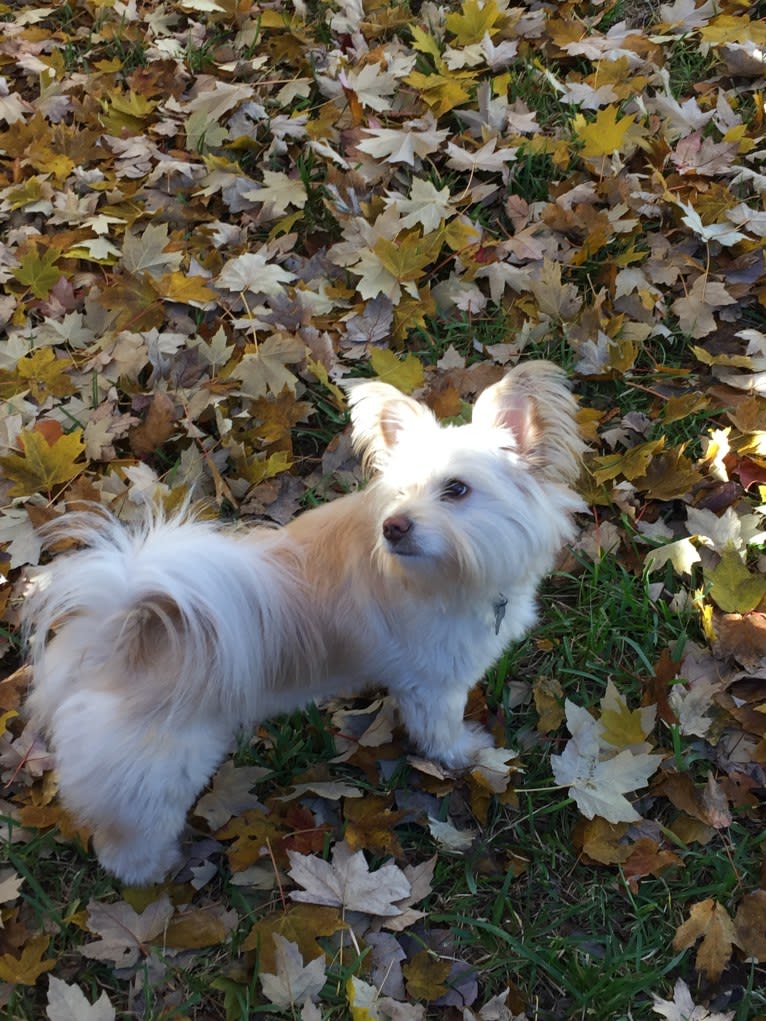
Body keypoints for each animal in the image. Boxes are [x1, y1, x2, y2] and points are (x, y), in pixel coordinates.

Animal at [24, 361, 588, 886]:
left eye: (456, 489)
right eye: (399, 494)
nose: (394, 526)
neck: (442, 574)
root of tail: (120, 630)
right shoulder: (433, 686)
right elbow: (441, 731)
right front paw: (466, 754)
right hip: (157, 771)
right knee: (127, 836)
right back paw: (151, 869)